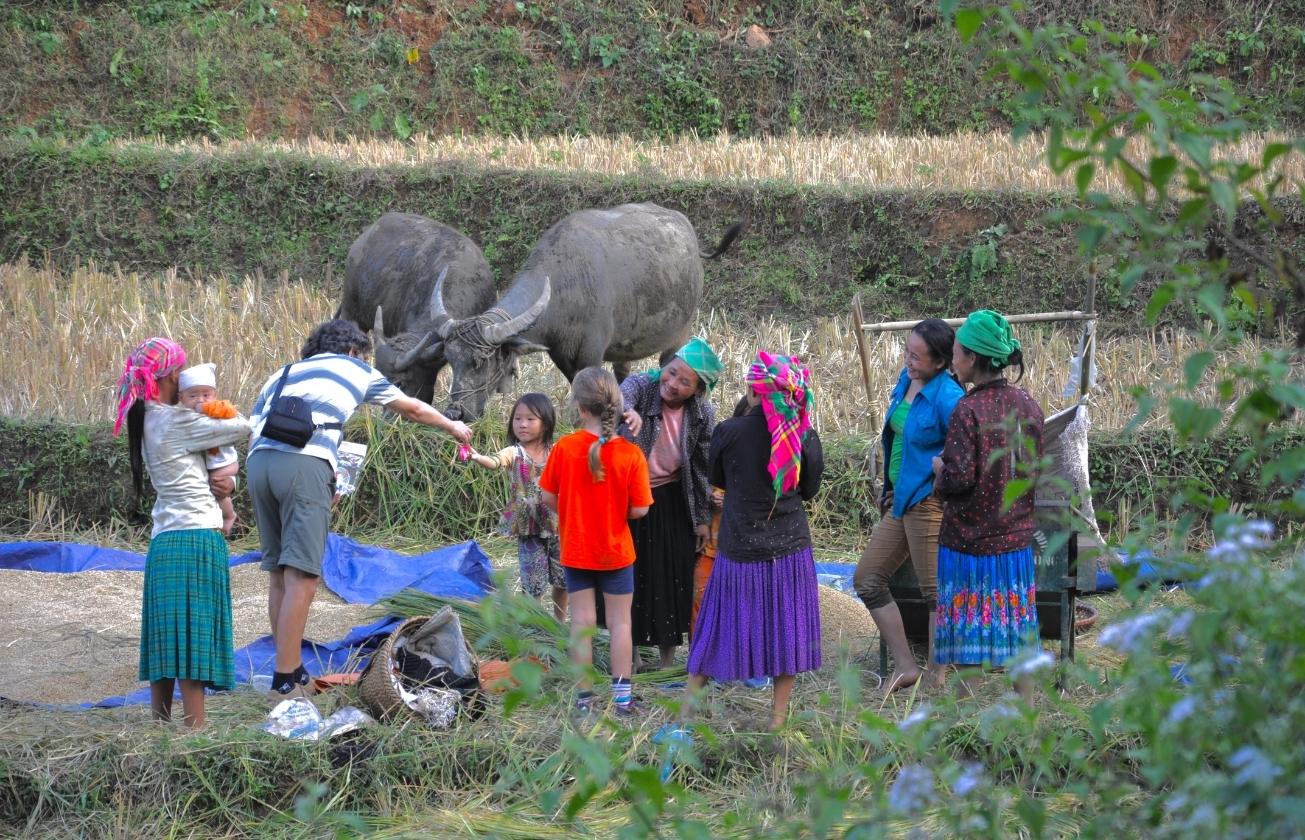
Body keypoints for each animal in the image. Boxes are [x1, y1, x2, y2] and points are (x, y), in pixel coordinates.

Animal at [422, 203, 741, 420]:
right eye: (450, 360)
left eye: (480, 362)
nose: (455, 413)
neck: (567, 286)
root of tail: (688, 234)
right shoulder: (561, 354)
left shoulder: (591, 353)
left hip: (680, 333)